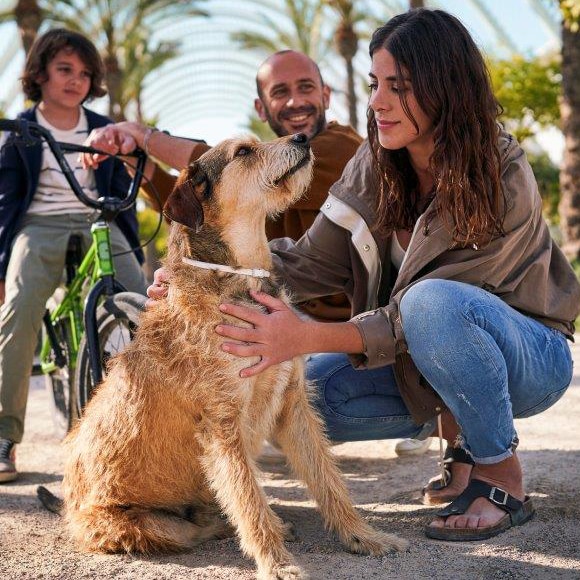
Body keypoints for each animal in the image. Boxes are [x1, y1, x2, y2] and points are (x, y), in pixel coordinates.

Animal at [62, 134, 408, 576]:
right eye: (243, 151)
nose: (302, 137)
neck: (241, 278)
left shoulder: (292, 405)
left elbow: (328, 481)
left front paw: (363, 537)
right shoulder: (222, 426)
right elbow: (248, 500)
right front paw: (277, 564)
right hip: (151, 525)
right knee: (199, 525)